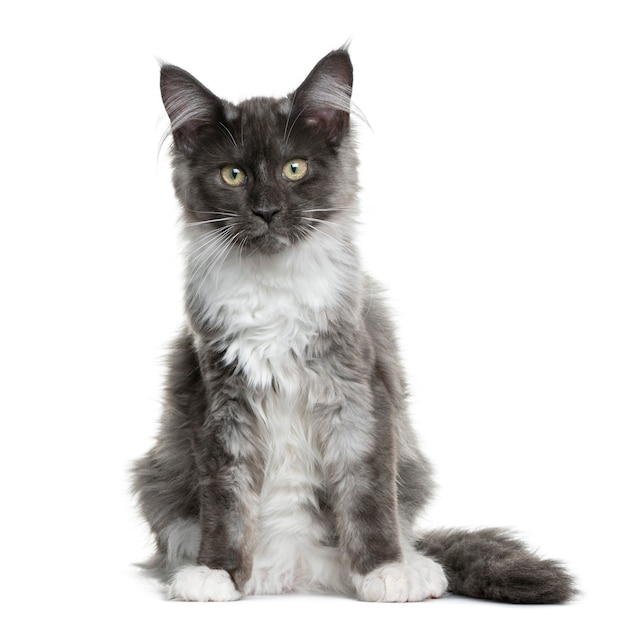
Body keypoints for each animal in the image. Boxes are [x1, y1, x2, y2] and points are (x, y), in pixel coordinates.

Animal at [133, 47, 576, 600]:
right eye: (233, 175)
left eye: (294, 168)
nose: (267, 211)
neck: (274, 285)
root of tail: (296, 569)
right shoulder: (218, 401)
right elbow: (227, 503)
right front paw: (217, 572)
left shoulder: (358, 388)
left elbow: (367, 493)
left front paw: (384, 570)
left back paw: (417, 567)